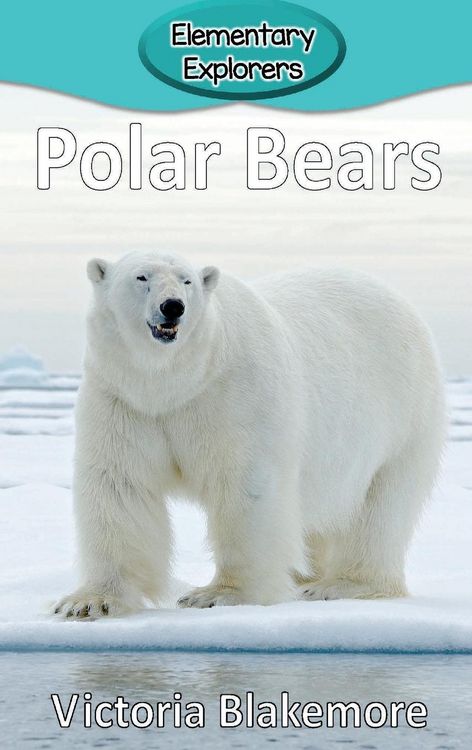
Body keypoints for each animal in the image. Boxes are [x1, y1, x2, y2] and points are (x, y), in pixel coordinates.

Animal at [54, 250, 445, 618]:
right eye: (141, 276)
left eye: (186, 281)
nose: (173, 307)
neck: (176, 382)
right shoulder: (124, 400)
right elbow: (120, 484)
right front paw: (88, 602)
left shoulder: (233, 394)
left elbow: (246, 487)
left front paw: (218, 595)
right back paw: (306, 577)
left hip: (403, 416)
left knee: (380, 507)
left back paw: (339, 585)